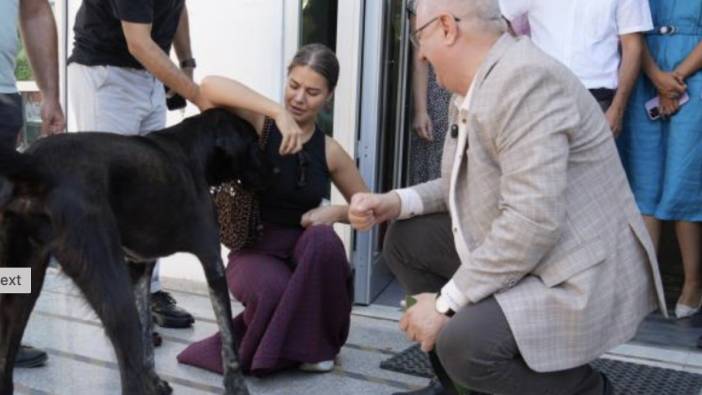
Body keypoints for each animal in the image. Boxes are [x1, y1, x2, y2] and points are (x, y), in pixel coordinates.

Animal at [0, 109, 272, 395]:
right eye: (254, 142)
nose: (275, 170)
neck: (194, 147)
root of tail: (35, 164)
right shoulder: (213, 261)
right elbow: (228, 337)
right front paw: (237, 385)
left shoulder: (140, 267)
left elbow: (146, 337)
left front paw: (154, 380)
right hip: (112, 289)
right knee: (129, 377)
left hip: (20, 289)